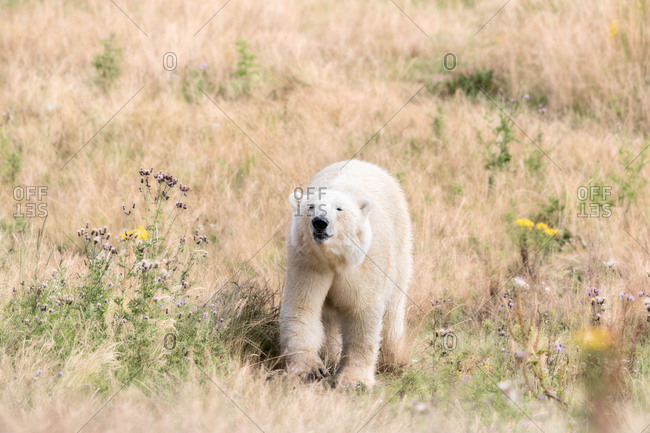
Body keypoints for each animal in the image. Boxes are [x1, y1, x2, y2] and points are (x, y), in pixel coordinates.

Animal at [279, 159, 413, 387]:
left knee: (394, 307)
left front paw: (354, 382)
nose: (320, 222)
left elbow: (362, 313)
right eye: (310, 206)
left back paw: (395, 358)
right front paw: (311, 370)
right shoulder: (308, 262)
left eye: (339, 208)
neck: (334, 258)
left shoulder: (365, 263)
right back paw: (331, 356)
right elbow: (303, 306)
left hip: (400, 245)